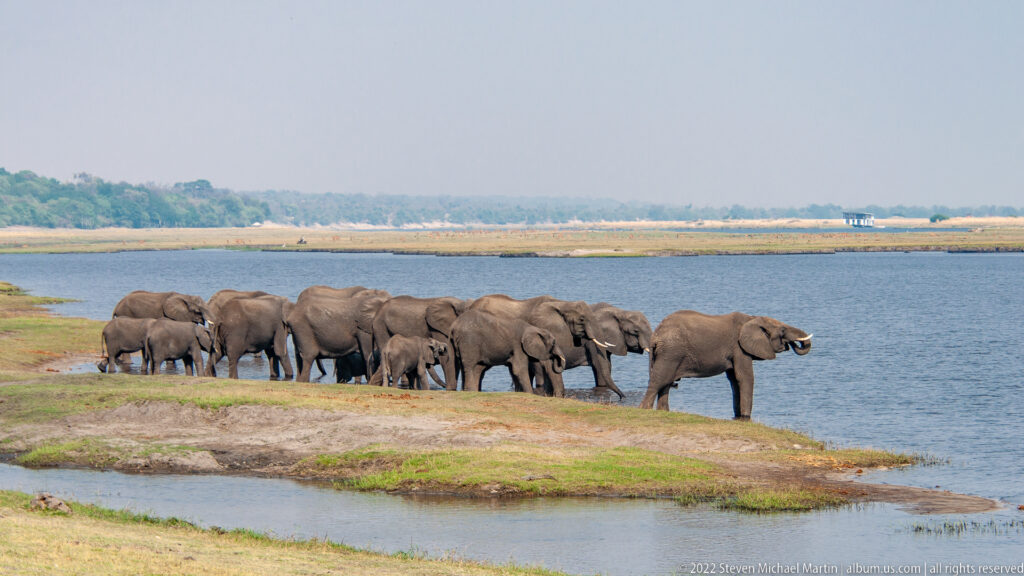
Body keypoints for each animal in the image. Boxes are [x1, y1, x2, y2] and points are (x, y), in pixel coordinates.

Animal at [640, 311, 812, 418]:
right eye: (782, 330)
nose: (791, 344)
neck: (752, 318)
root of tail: (656, 334)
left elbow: (734, 380)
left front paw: (739, 416)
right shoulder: (739, 348)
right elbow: (745, 377)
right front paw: (746, 417)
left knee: (666, 382)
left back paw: (663, 412)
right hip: (671, 352)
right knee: (659, 380)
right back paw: (644, 409)